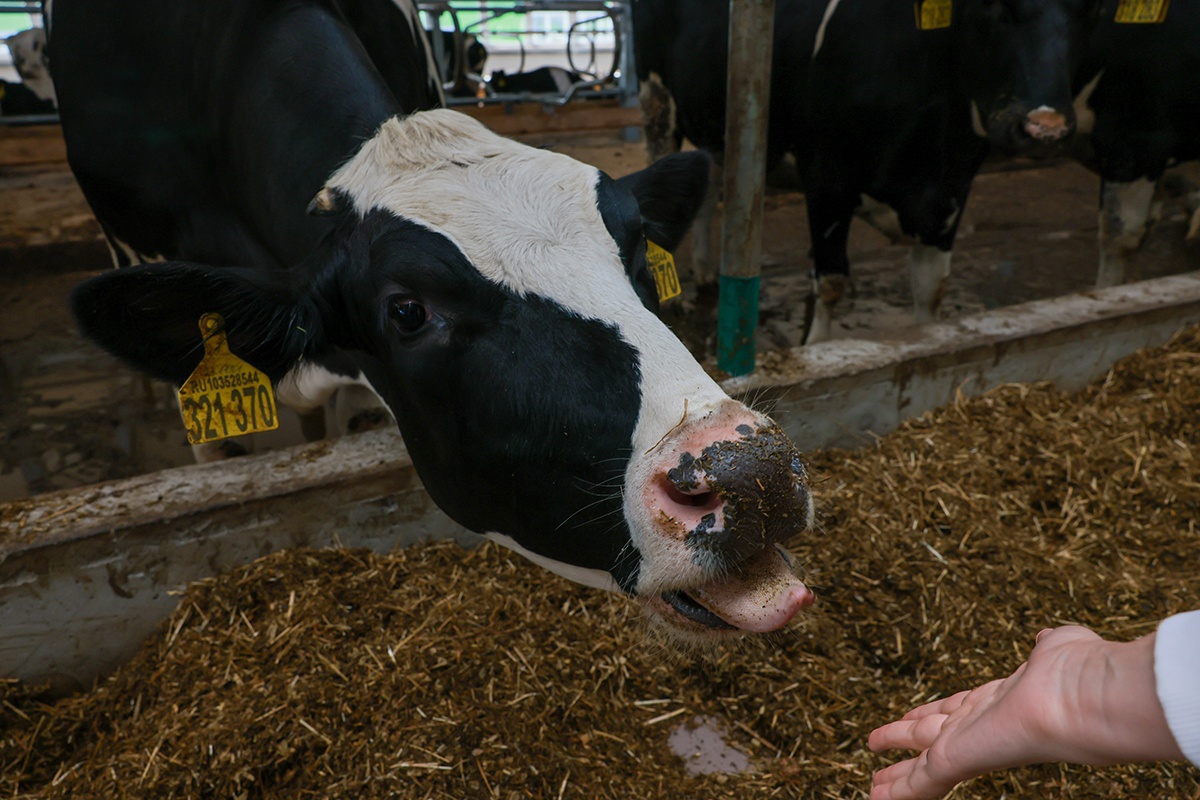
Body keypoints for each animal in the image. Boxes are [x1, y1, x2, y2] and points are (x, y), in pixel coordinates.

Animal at [633, 0, 1099, 340]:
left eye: (1087, 11)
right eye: (993, 8)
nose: (1045, 128)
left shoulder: (952, 188)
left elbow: (931, 289)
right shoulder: (828, 180)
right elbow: (832, 282)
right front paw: (816, 346)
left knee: (706, 186)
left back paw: (706, 274)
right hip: (658, 101)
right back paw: (675, 299)